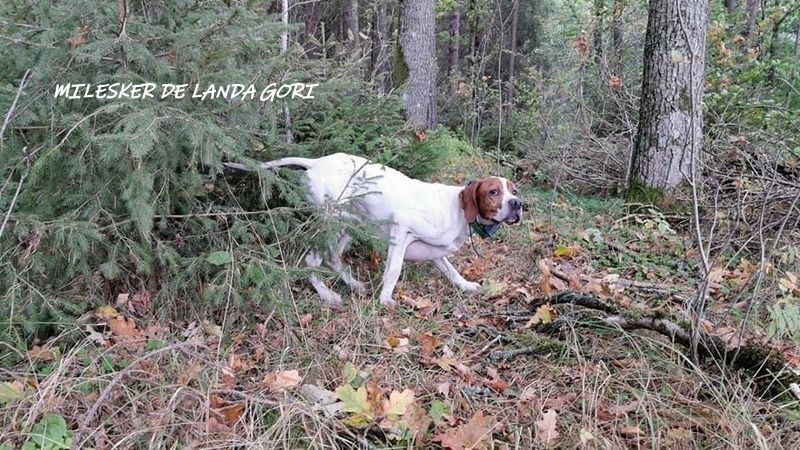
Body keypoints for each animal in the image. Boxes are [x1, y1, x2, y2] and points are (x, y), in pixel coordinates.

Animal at [225, 153, 524, 308]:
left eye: (514, 190)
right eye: (494, 192)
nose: (518, 204)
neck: (459, 210)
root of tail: (316, 161)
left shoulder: (435, 251)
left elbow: (451, 271)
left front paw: (466, 285)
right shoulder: (401, 228)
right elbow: (393, 271)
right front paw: (385, 299)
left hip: (351, 222)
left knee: (333, 258)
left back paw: (353, 284)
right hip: (334, 220)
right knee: (312, 260)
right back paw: (327, 295)